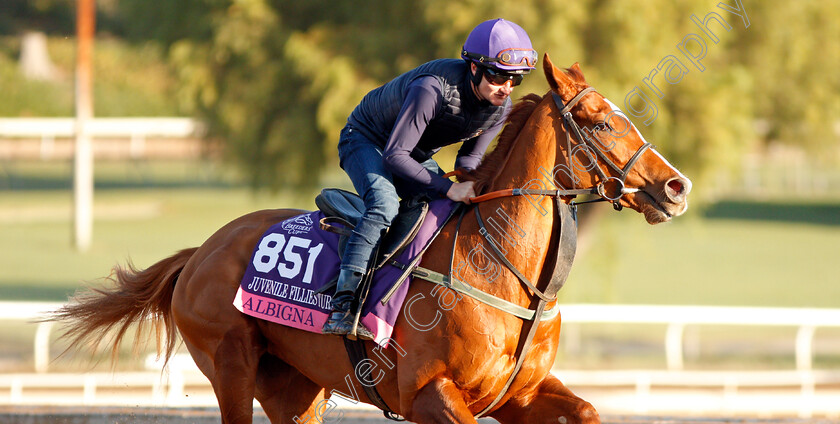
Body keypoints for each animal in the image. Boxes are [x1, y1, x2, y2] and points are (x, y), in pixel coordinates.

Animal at [57, 53, 688, 424]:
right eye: (601, 122)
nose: (675, 187)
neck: (501, 270)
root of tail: (202, 252)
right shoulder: (429, 393)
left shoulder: (519, 396)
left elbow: (585, 410)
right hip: (230, 367)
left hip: (294, 387)